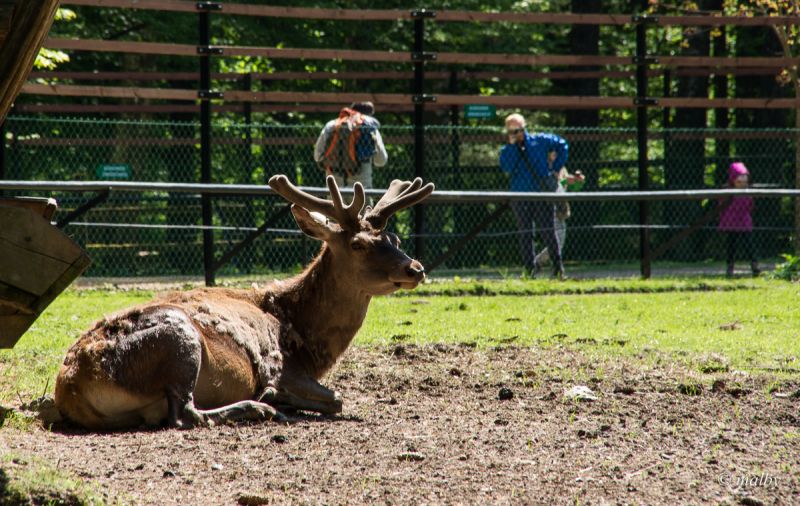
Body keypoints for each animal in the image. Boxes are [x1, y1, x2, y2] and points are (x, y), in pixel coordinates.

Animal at [54, 176, 434, 428]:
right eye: (358, 244)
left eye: (395, 238)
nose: (415, 268)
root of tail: (73, 387)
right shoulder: (280, 366)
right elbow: (337, 399)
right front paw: (278, 398)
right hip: (179, 340)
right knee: (184, 414)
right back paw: (261, 407)